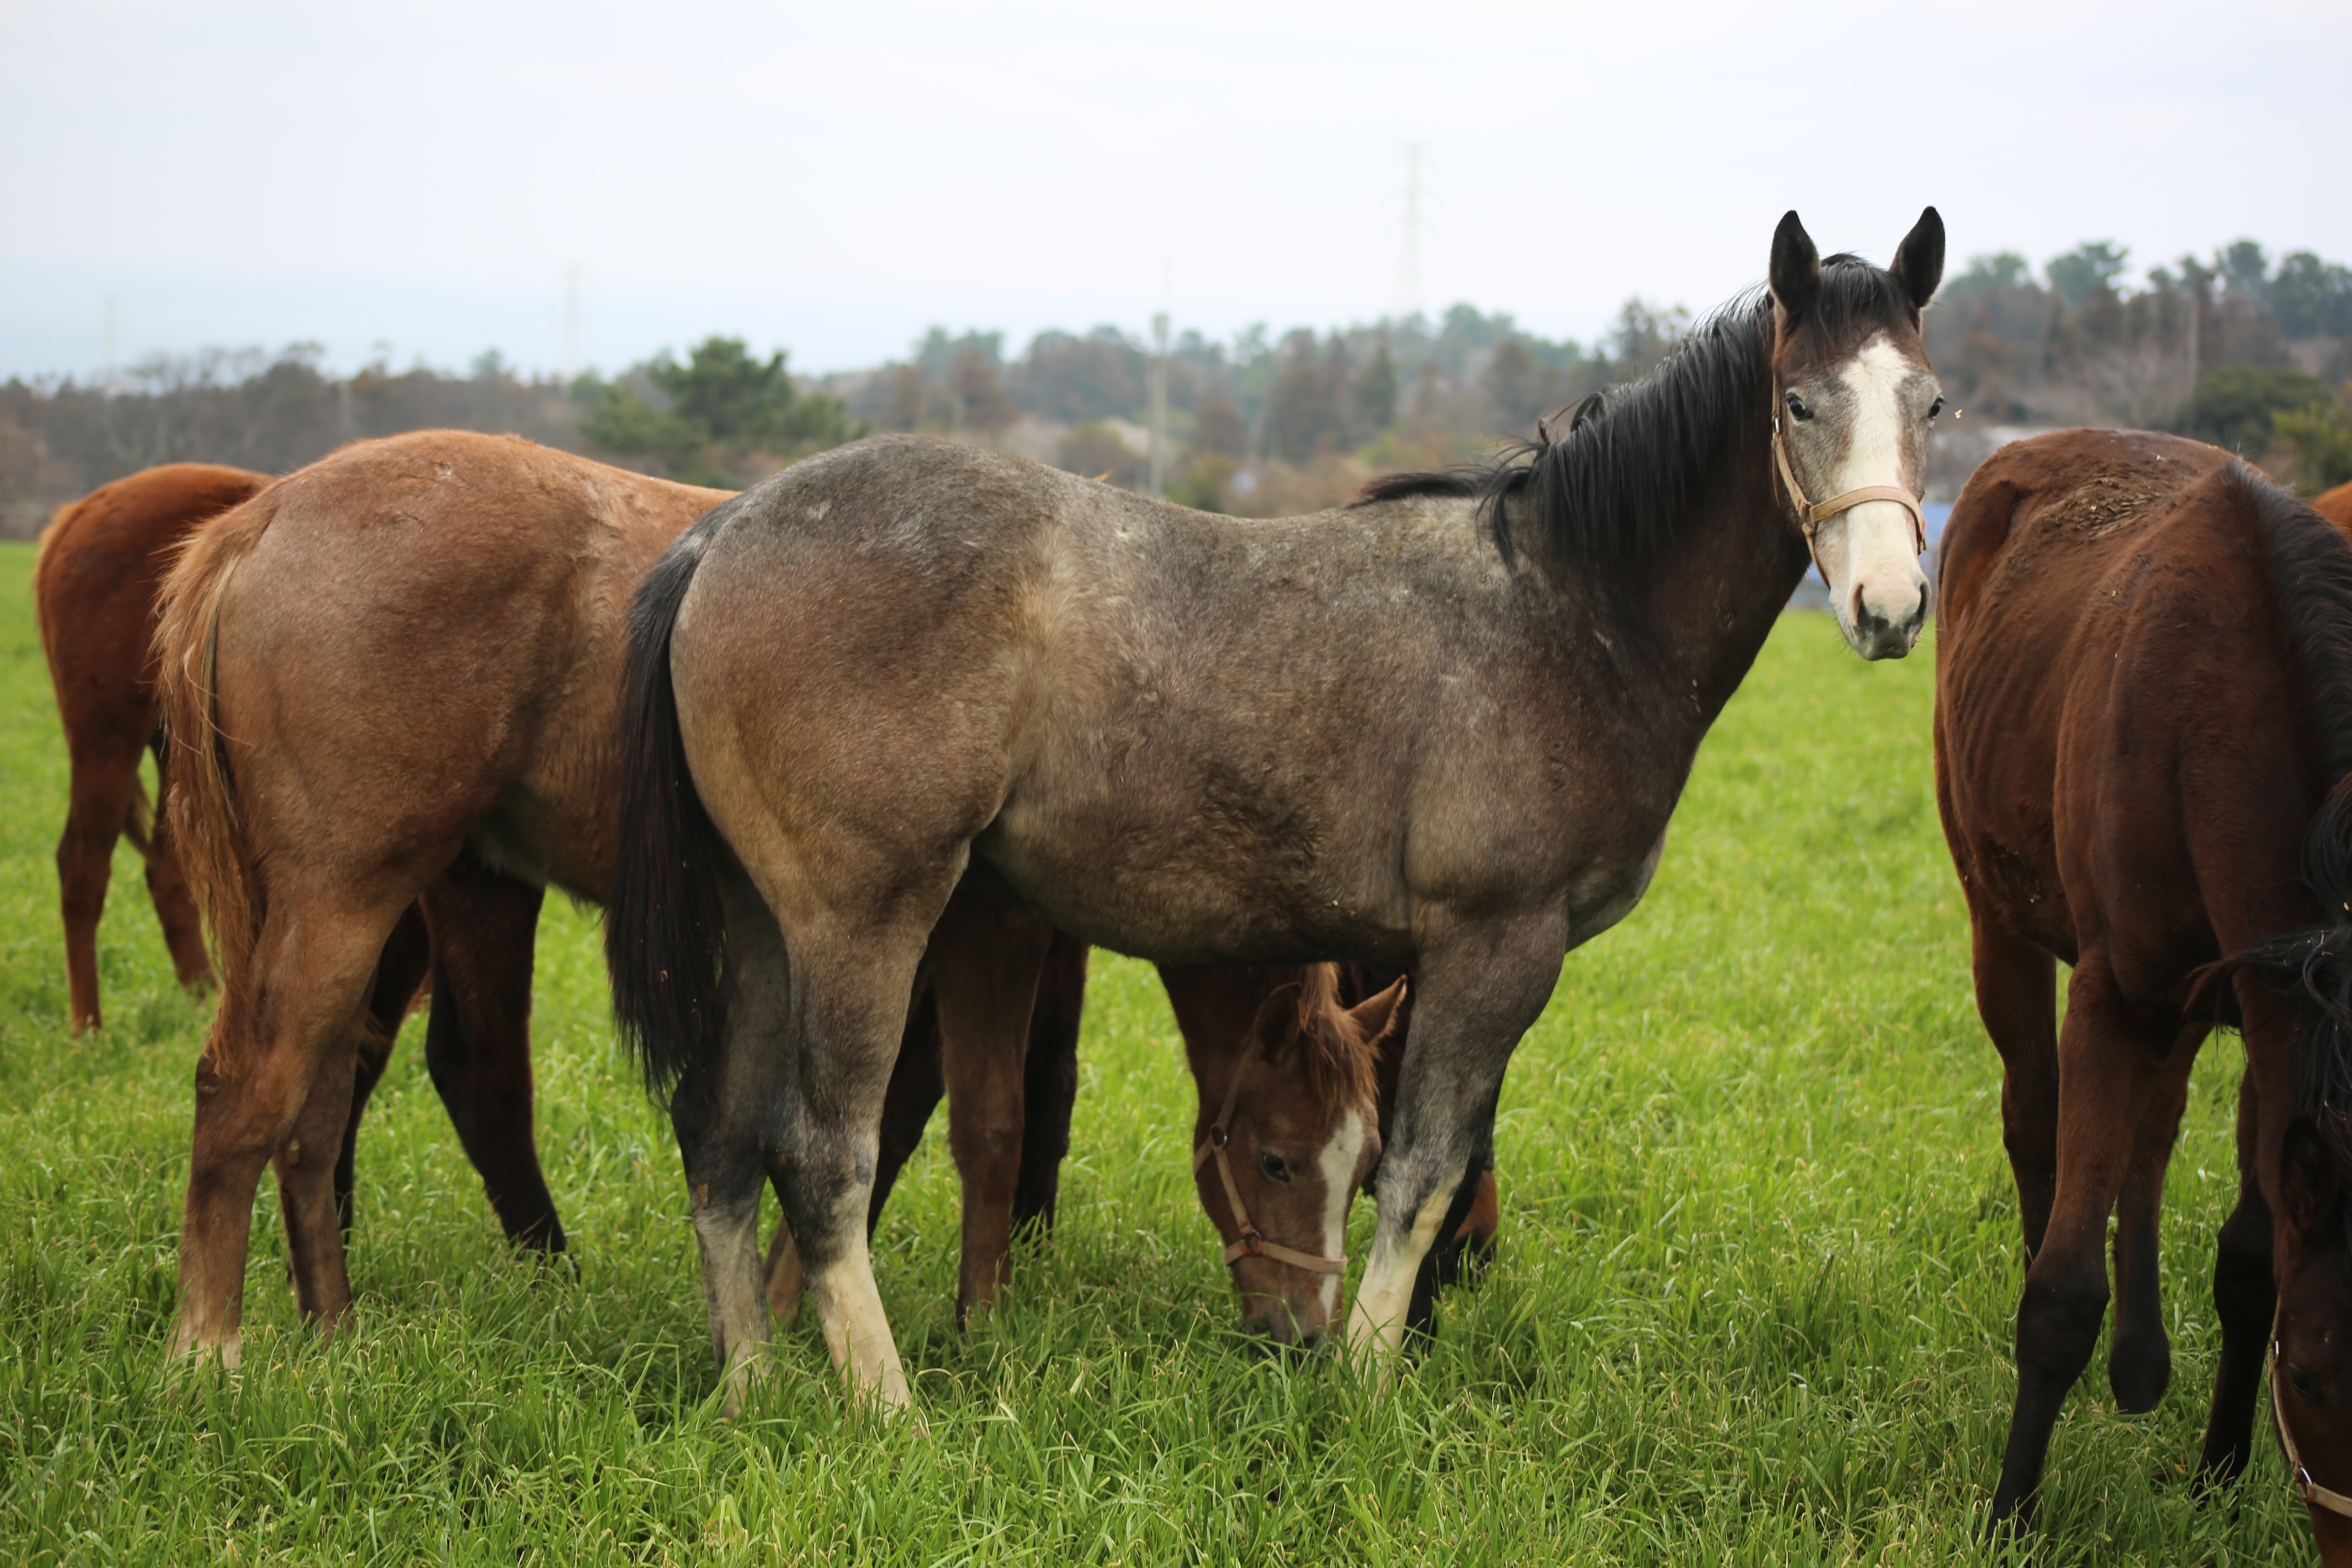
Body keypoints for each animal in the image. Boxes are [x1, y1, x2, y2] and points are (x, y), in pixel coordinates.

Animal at [34, 465, 269, 1029]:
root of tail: (78, 514)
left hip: (176, 750)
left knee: (168, 872)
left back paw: (204, 1003)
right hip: (107, 741)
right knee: (82, 868)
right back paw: (89, 1028)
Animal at [607, 212, 1947, 1410]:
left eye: (1931, 405)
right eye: (1798, 404)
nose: (1887, 605)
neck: (1570, 608)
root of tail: (727, 528)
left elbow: (1429, 1160)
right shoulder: (1497, 944)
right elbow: (1423, 1168)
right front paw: (1365, 1379)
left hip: (764, 925)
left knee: (719, 1136)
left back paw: (749, 1386)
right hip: (865, 924)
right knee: (821, 1153)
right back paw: (887, 1409)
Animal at [1938, 430, 2352, 1561]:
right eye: (2307, 1378)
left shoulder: (2273, 994)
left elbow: (2252, 1255)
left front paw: (2219, 1473)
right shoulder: (2115, 998)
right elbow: (2061, 1293)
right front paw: (2009, 1512)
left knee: (2151, 1139)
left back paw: (2139, 1363)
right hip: (2000, 915)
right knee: (2035, 1116)